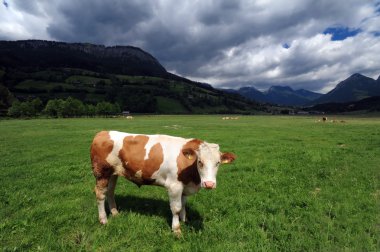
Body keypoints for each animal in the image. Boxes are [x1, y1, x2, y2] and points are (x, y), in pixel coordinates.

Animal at [90, 131, 236, 235]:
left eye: (218, 163)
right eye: (200, 162)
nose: (209, 184)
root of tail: (103, 132)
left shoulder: (184, 186)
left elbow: (183, 204)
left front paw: (184, 220)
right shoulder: (174, 186)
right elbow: (176, 208)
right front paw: (176, 229)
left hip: (113, 173)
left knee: (110, 191)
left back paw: (115, 213)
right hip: (101, 172)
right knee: (100, 195)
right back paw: (103, 220)